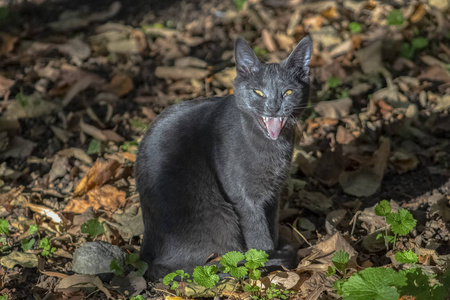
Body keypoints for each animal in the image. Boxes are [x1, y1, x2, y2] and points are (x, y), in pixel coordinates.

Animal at [134, 35, 312, 282]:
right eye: (258, 92)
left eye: (287, 92)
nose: (274, 107)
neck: (273, 147)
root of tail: (144, 256)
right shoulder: (244, 198)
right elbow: (259, 237)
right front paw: (265, 262)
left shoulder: (272, 195)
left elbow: (272, 227)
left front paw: (274, 253)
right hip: (220, 217)